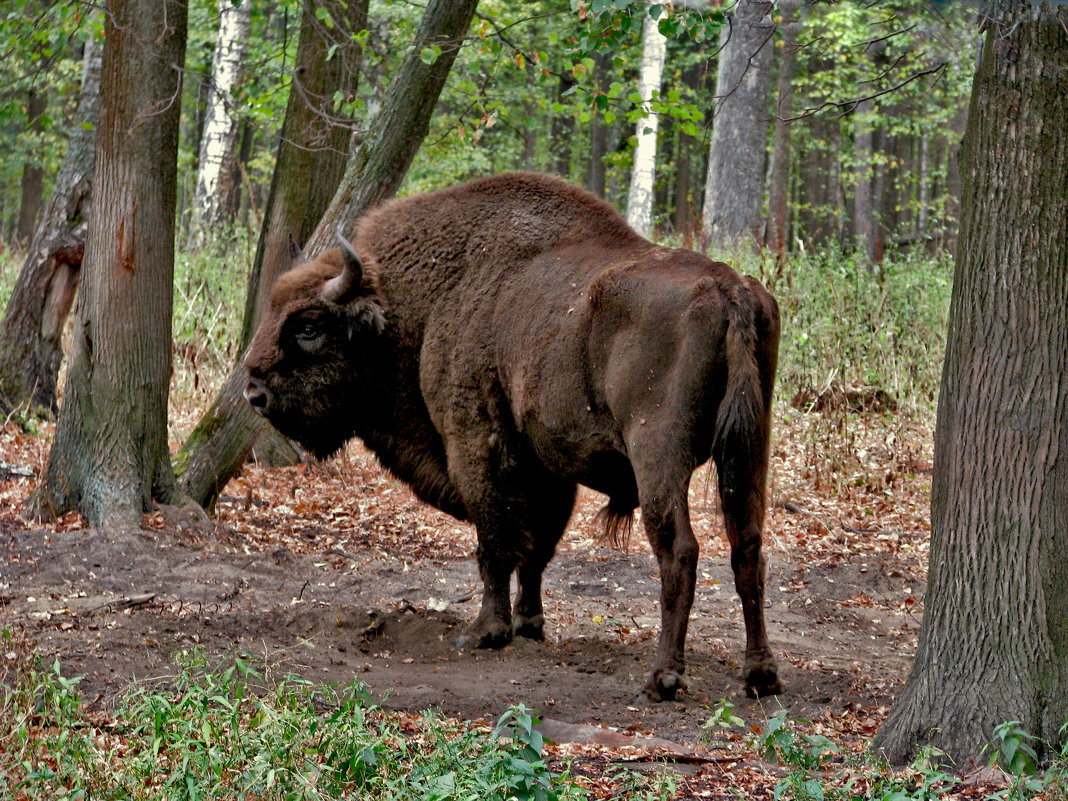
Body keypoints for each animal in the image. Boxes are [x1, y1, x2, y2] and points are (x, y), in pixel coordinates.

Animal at [245, 173, 781, 700]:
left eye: (308, 326)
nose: (254, 391)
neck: (418, 305)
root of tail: (729, 288)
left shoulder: (477, 447)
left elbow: (496, 543)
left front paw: (485, 631)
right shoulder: (546, 468)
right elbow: (536, 547)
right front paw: (529, 623)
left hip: (659, 454)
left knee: (679, 550)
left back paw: (664, 678)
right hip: (749, 447)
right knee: (748, 546)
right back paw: (760, 673)